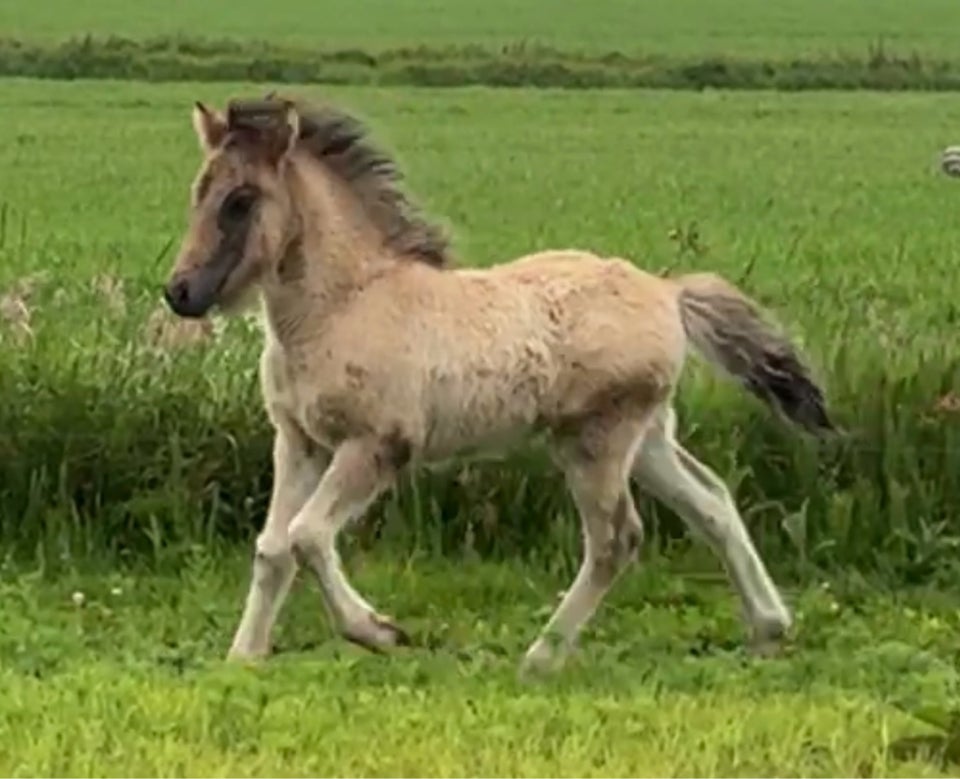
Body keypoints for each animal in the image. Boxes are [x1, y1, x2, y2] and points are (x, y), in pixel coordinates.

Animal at [163, 94, 832, 672]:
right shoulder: (299, 442)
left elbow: (306, 537)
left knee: (617, 538)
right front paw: (243, 656)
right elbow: (272, 548)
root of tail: (668, 293)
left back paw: (540, 658)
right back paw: (769, 628)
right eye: (198, 192)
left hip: (596, 441)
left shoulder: (377, 445)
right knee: (712, 502)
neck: (346, 305)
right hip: (646, 438)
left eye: (241, 200)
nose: (180, 293)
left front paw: (381, 632)